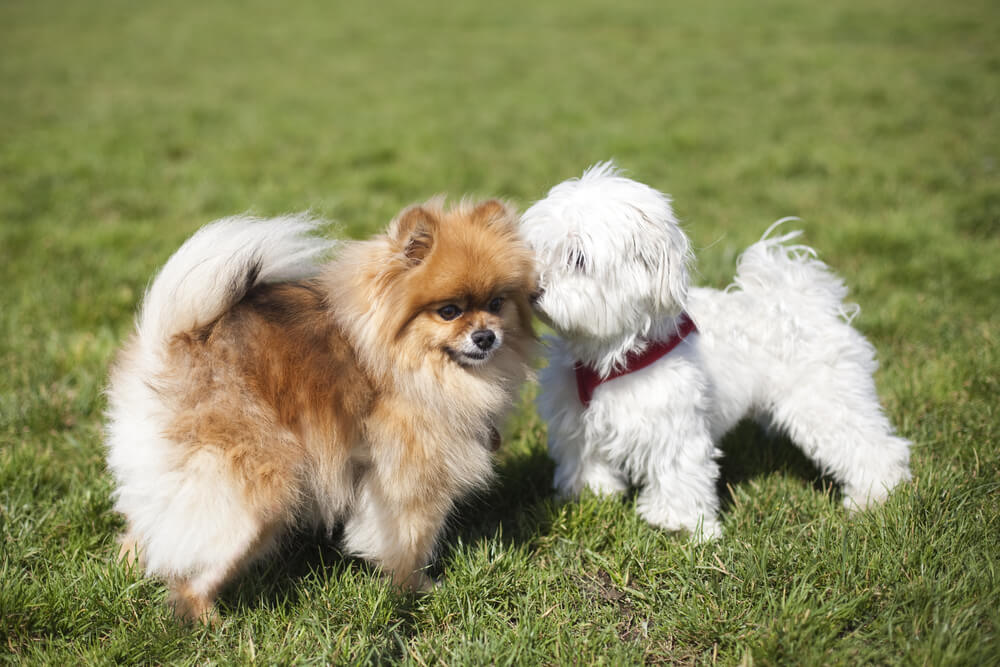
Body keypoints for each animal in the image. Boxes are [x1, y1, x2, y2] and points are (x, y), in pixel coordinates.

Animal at [105, 201, 536, 624]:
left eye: (496, 303)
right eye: (448, 311)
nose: (485, 336)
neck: (401, 361)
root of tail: (169, 349)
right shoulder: (412, 477)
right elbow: (410, 544)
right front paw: (415, 591)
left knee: (148, 533)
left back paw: (126, 572)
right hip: (255, 497)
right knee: (192, 572)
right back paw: (209, 619)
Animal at [524, 164, 916, 540]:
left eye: (577, 258)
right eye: (535, 251)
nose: (532, 289)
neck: (609, 352)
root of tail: (803, 300)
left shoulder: (673, 423)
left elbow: (678, 470)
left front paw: (679, 524)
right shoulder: (575, 421)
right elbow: (585, 460)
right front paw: (590, 495)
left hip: (825, 401)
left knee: (870, 445)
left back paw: (875, 494)